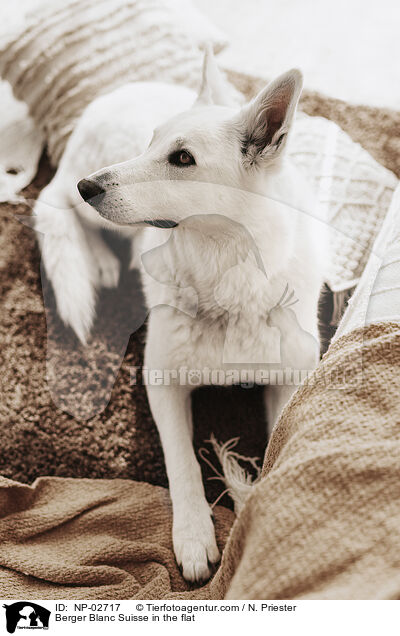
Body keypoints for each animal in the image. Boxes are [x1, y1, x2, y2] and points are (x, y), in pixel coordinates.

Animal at [34, 51, 326, 580]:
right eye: (151, 143)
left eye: (183, 159)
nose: (90, 186)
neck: (228, 281)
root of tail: (113, 93)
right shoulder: (162, 380)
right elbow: (183, 461)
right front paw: (194, 535)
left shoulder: (290, 383)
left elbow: (278, 452)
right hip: (85, 201)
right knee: (55, 205)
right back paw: (99, 257)